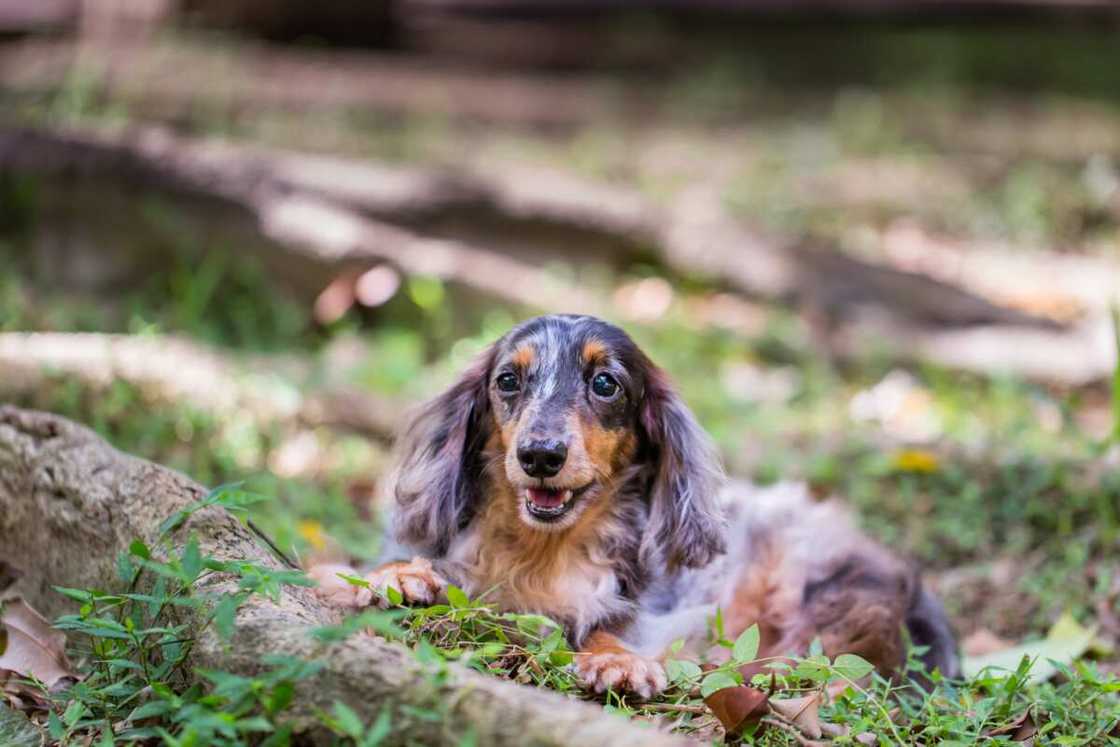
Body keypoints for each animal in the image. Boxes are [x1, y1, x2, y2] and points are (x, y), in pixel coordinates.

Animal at [311, 313, 958, 698]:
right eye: (507, 381)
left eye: (606, 383)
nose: (539, 455)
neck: (539, 553)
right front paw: (393, 575)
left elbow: (610, 627)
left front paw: (617, 660)